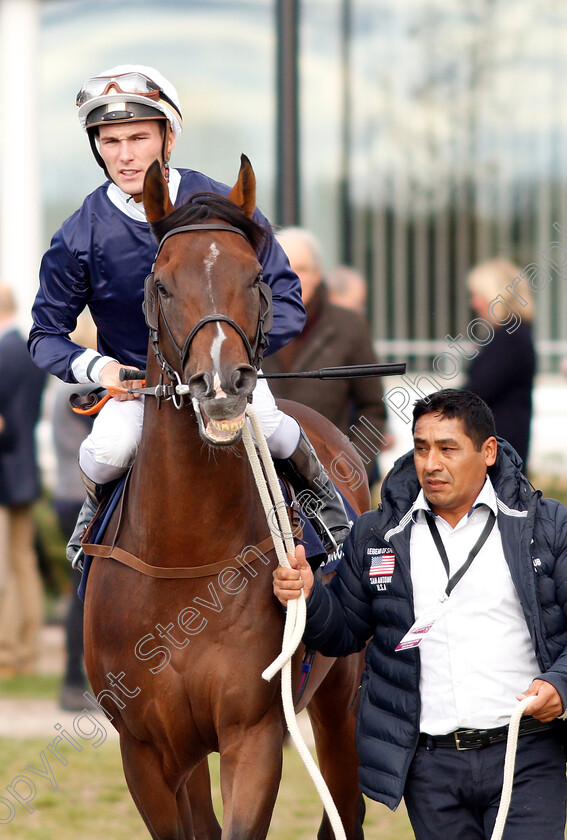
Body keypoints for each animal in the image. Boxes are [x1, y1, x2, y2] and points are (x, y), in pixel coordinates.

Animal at [82, 156, 370, 840]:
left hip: (341, 693)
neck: (185, 554)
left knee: (345, 805)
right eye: (161, 284)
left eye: (256, 277)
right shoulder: (148, 749)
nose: (221, 384)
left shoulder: (254, 733)